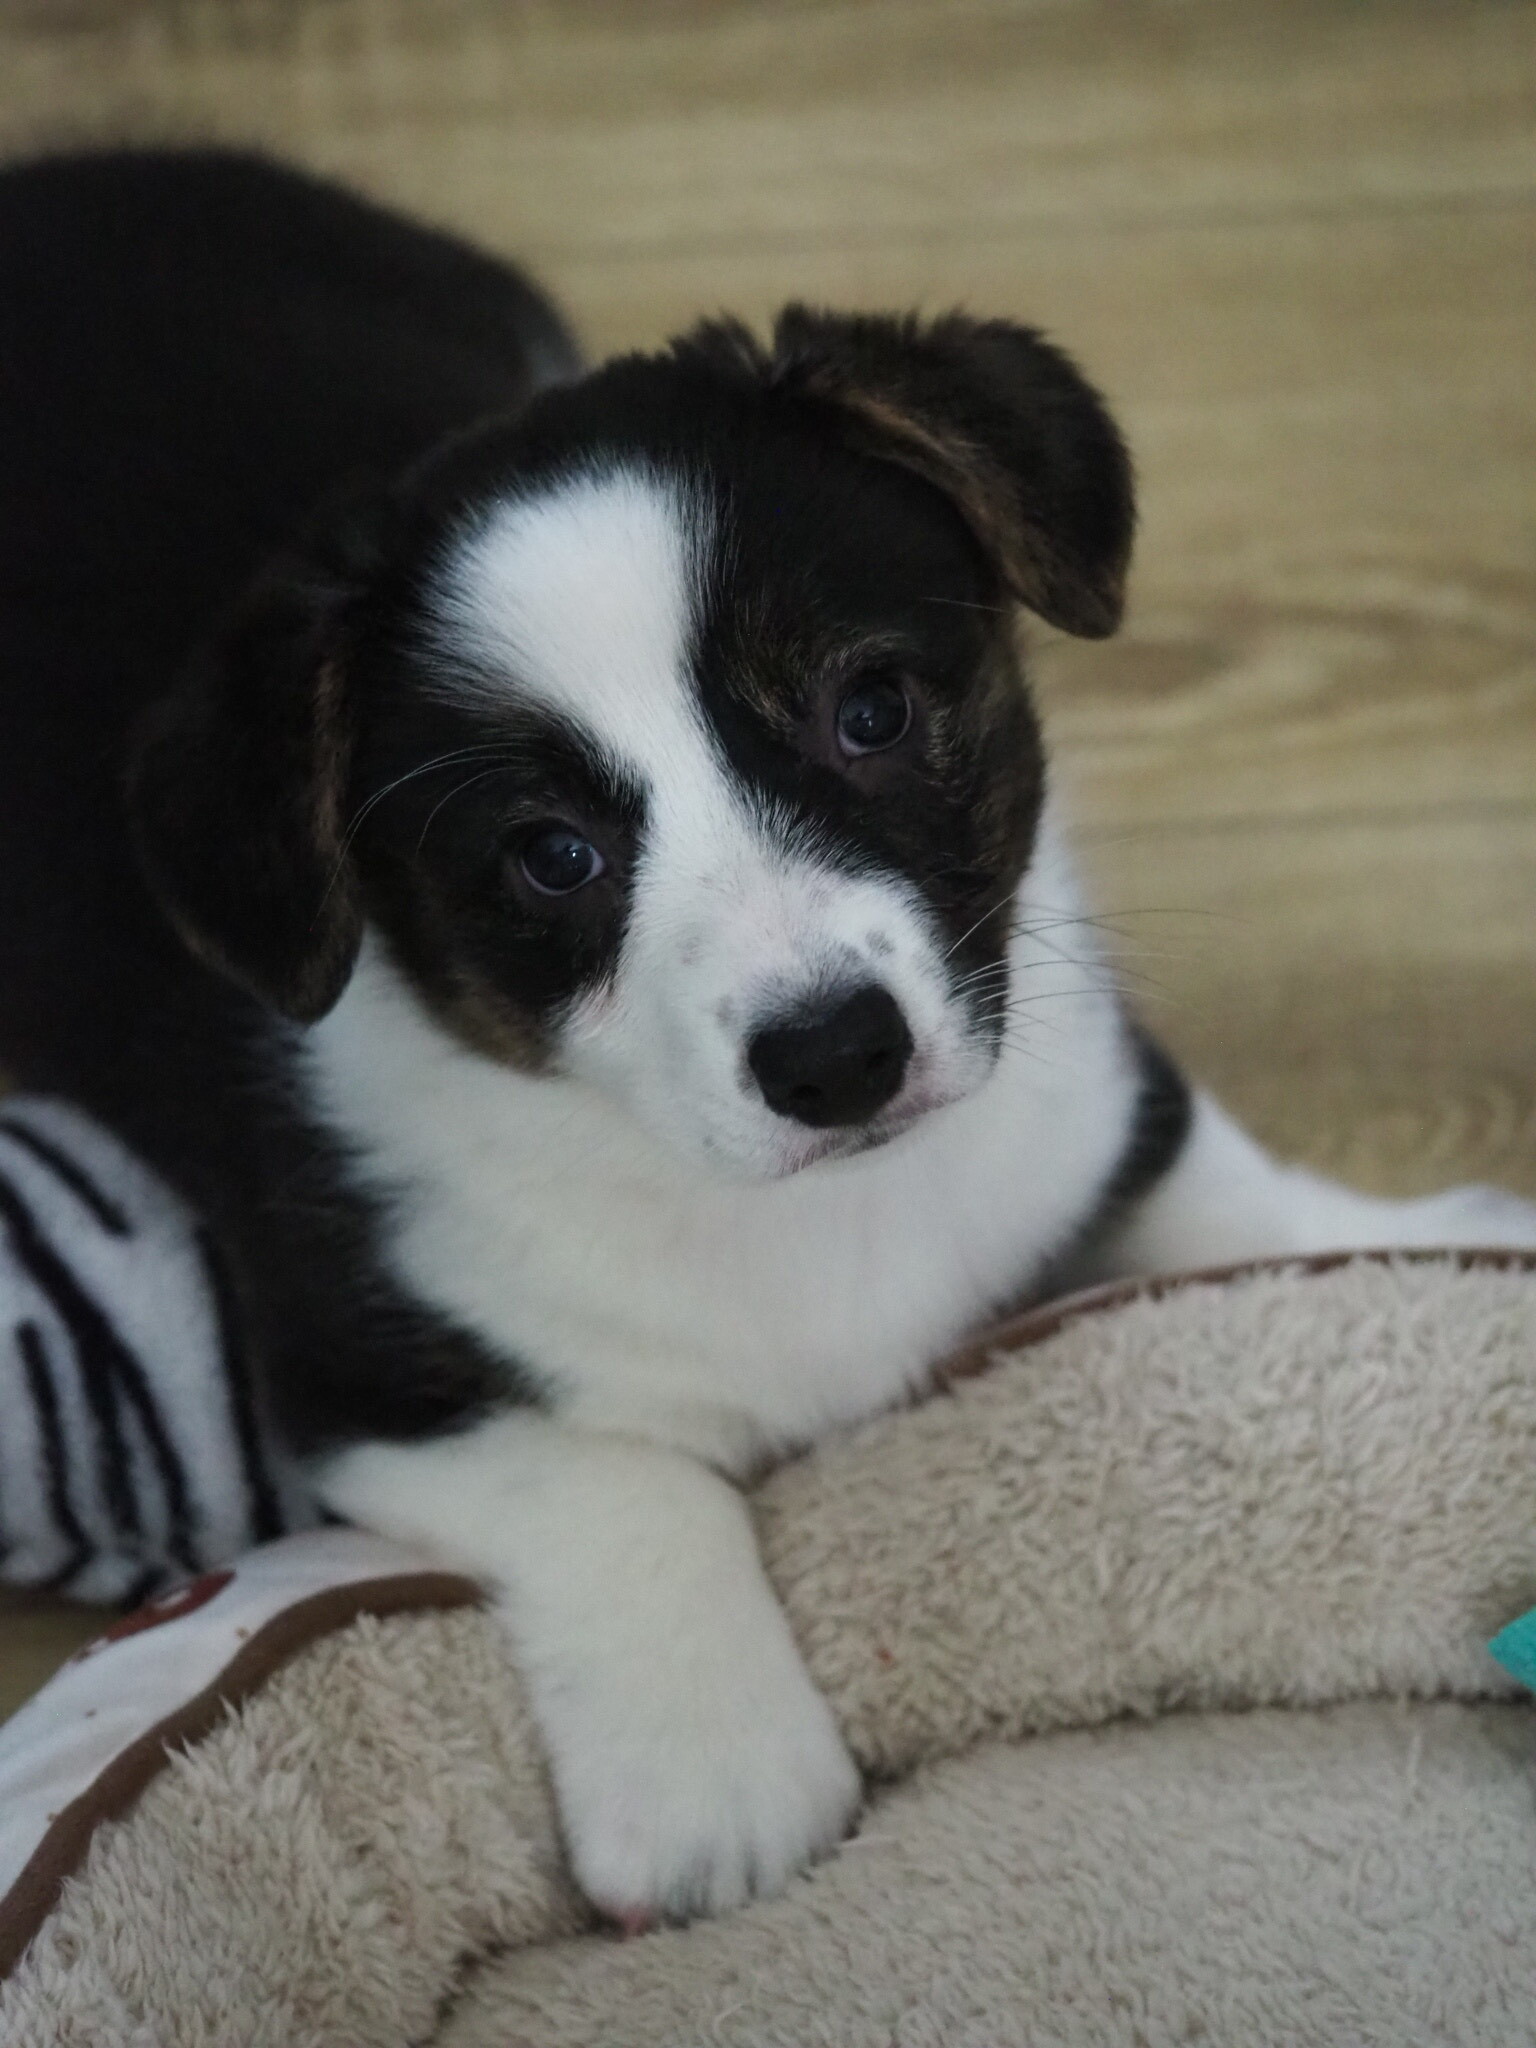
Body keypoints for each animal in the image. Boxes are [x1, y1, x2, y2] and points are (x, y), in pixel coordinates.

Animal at [2, 147, 1532, 1923]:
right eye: (550, 857)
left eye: (870, 709)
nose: (836, 1060)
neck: (814, 1214)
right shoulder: (366, 1377)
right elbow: (622, 1476)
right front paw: (720, 1781)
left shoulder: (1080, 1089)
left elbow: (1223, 1188)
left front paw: (1442, 1239)